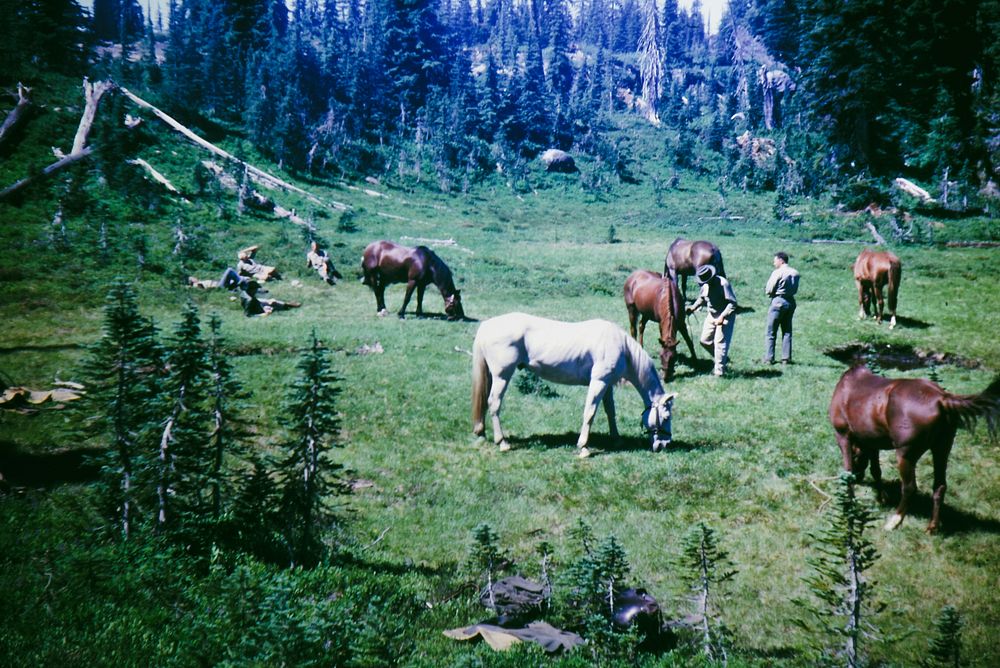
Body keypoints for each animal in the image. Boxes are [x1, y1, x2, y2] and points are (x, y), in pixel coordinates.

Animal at [470, 310, 676, 456]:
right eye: (666, 417)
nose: (664, 445)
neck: (621, 347)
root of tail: (487, 326)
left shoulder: (607, 384)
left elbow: (610, 411)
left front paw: (617, 439)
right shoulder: (598, 382)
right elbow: (590, 412)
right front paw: (584, 447)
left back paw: (481, 434)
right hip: (502, 376)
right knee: (494, 403)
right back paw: (502, 443)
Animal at [828, 366, 1000, 532]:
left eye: (856, 456)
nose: (860, 478)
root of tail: (941, 398)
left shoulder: (842, 434)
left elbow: (848, 470)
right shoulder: (872, 441)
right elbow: (876, 470)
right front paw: (881, 497)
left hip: (905, 455)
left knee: (910, 487)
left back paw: (895, 521)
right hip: (942, 449)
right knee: (940, 486)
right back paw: (932, 527)